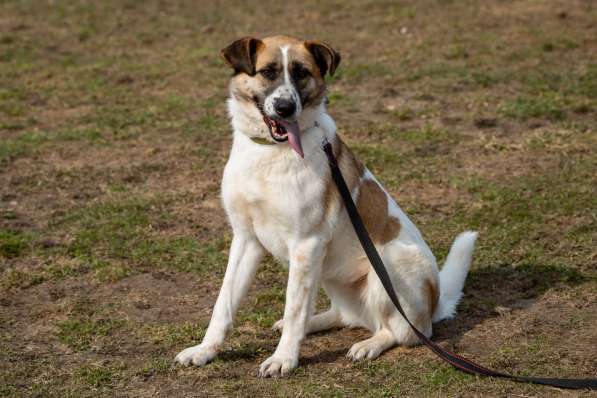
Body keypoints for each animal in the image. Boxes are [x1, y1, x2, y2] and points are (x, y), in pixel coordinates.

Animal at [175, 35, 478, 378]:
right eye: (267, 72)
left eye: (301, 73)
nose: (285, 107)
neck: (271, 153)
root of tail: (435, 301)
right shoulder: (246, 240)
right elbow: (224, 303)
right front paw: (205, 350)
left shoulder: (305, 245)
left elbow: (294, 308)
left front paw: (283, 359)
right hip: (328, 274)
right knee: (343, 316)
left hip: (386, 267)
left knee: (408, 331)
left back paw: (370, 344)